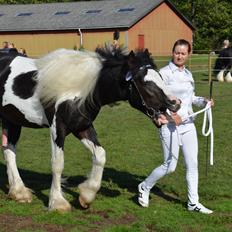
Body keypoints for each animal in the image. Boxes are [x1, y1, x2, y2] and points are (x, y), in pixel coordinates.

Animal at [0, 46, 179, 211]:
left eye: (160, 77)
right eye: (145, 82)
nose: (175, 103)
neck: (79, 88)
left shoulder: (82, 127)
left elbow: (100, 155)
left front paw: (86, 195)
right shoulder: (58, 129)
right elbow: (57, 163)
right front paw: (58, 203)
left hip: (12, 121)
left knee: (9, 151)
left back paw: (19, 192)